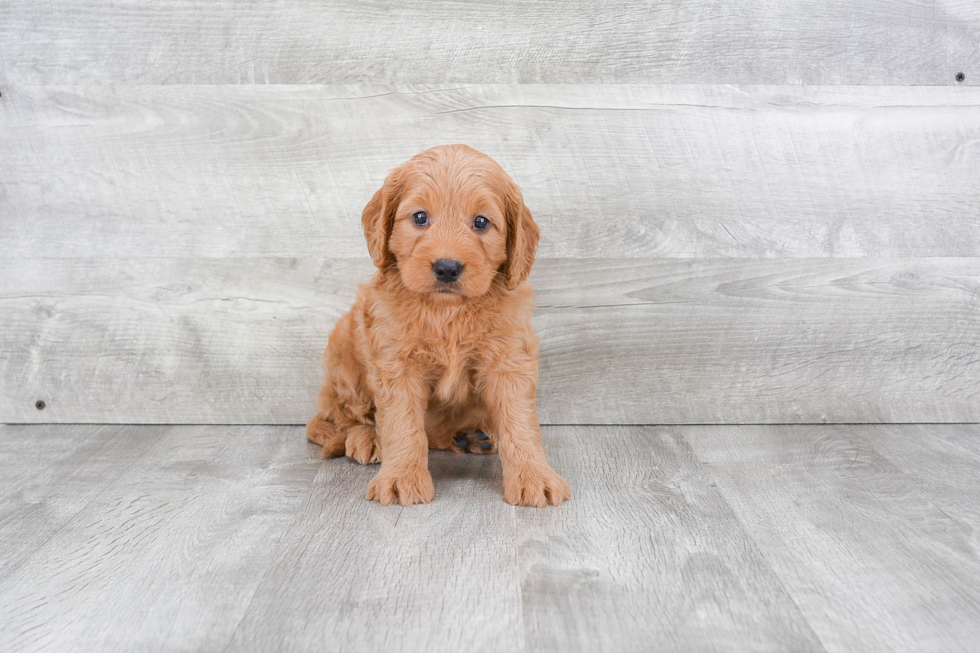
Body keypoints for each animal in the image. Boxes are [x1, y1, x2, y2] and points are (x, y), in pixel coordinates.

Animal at [304, 145, 568, 506]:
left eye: (481, 222)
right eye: (419, 218)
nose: (447, 268)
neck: (447, 312)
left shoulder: (509, 359)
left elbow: (519, 421)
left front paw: (534, 477)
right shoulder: (396, 364)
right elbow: (402, 423)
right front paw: (401, 478)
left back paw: (470, 435)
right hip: (345, 353)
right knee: (339, 417)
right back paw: (368, 439)